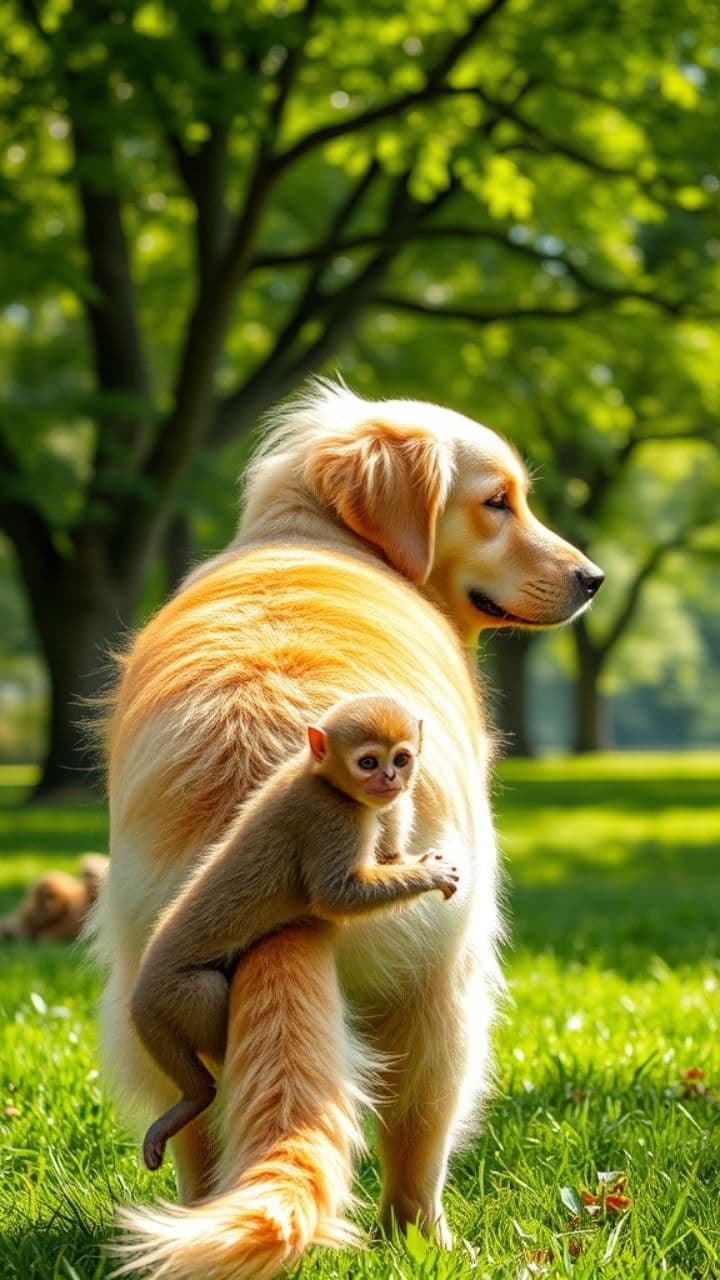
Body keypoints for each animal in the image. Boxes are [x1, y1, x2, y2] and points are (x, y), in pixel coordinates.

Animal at [131, 694, 459, 1173]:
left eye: (401, 758)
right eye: (368, 761)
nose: (389, 777)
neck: (323, 780)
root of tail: (140, 991)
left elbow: (388, 855)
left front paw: (415, 860)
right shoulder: (332, 819)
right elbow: (334, 896)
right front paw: (430, 874)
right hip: (168, 995)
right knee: (206, 994)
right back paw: (199, 1094)